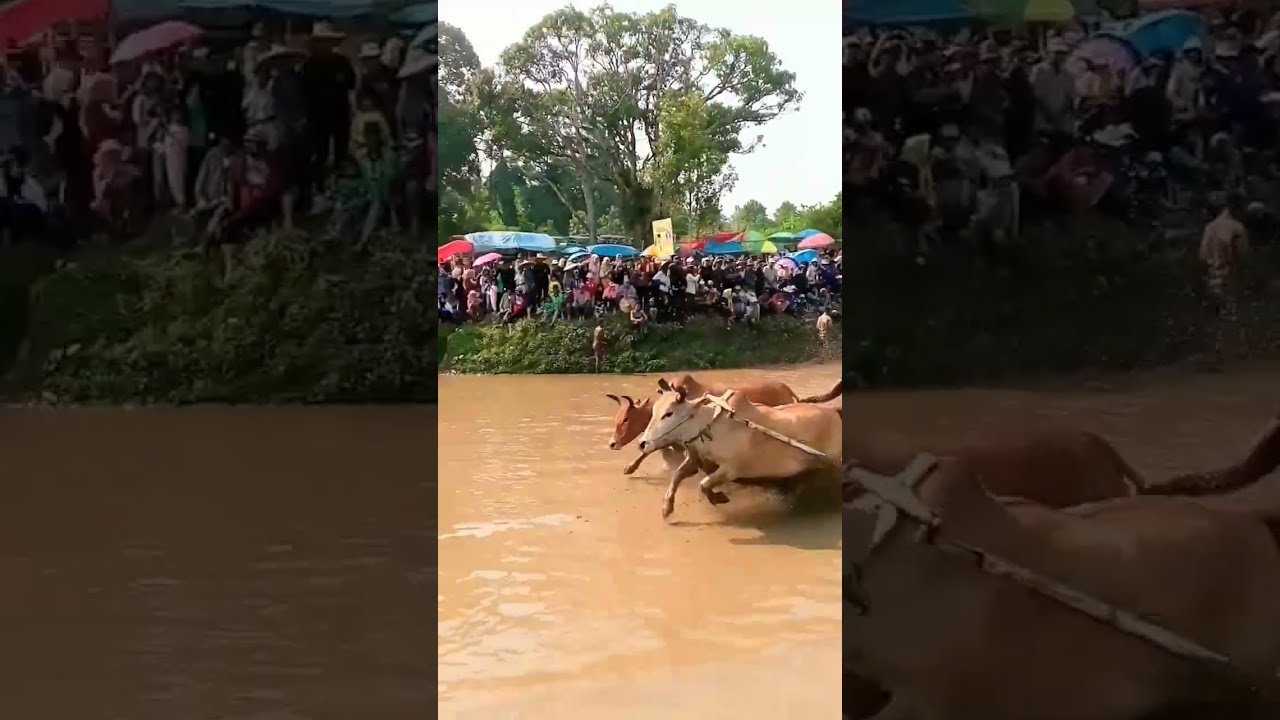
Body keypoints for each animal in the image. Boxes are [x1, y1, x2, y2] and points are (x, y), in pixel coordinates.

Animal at [637, 381, 839, 515]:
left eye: (669, 413)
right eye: (654, 411)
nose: (643, 443)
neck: (709, 425)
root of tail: (835, 412)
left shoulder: (731, 469)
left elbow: (704, 485)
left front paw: (719, 497)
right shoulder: (696, 459)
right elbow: (677, 476)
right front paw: (667, 507)